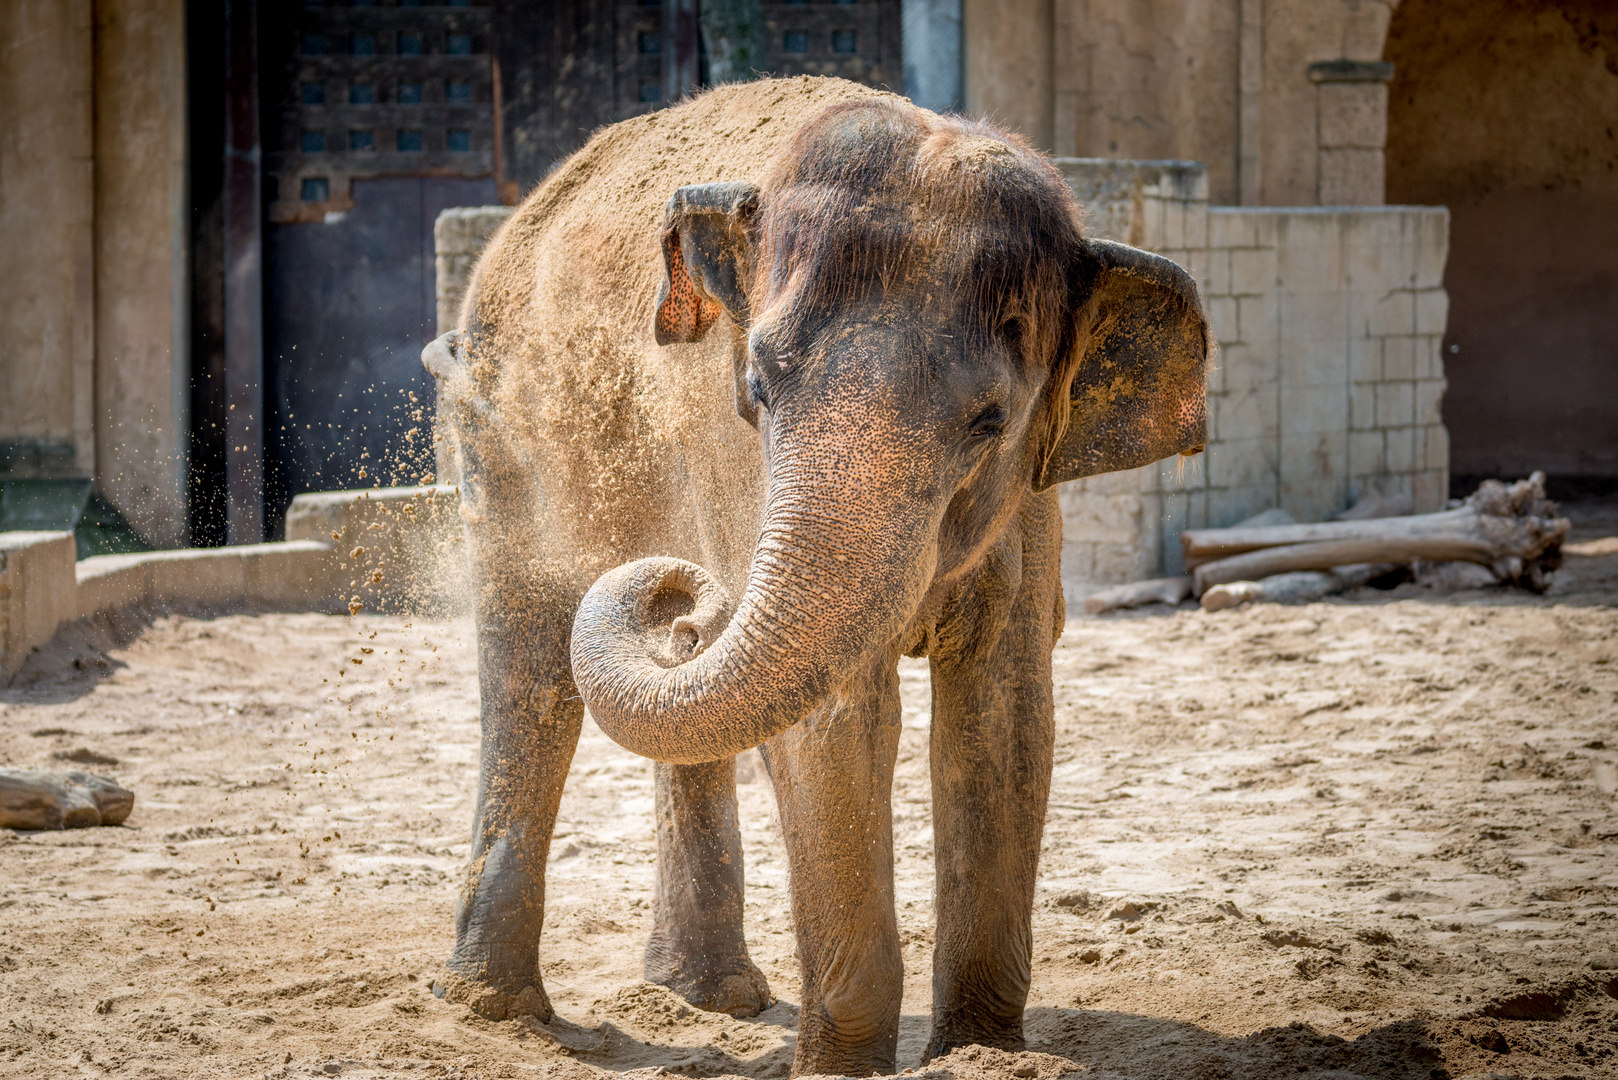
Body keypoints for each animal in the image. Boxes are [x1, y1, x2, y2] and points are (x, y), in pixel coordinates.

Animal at [423, 78, 1210, 1080]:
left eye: (992, 420)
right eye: (759, 385)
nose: (680, 597)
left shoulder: (1030, 503)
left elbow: (1008, 717)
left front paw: (981, 1053)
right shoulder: (730, 454)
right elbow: (835, 720)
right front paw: (845, 1066)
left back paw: (706, 996)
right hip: (497, 439)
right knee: (528, 662)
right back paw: (496, 1010)